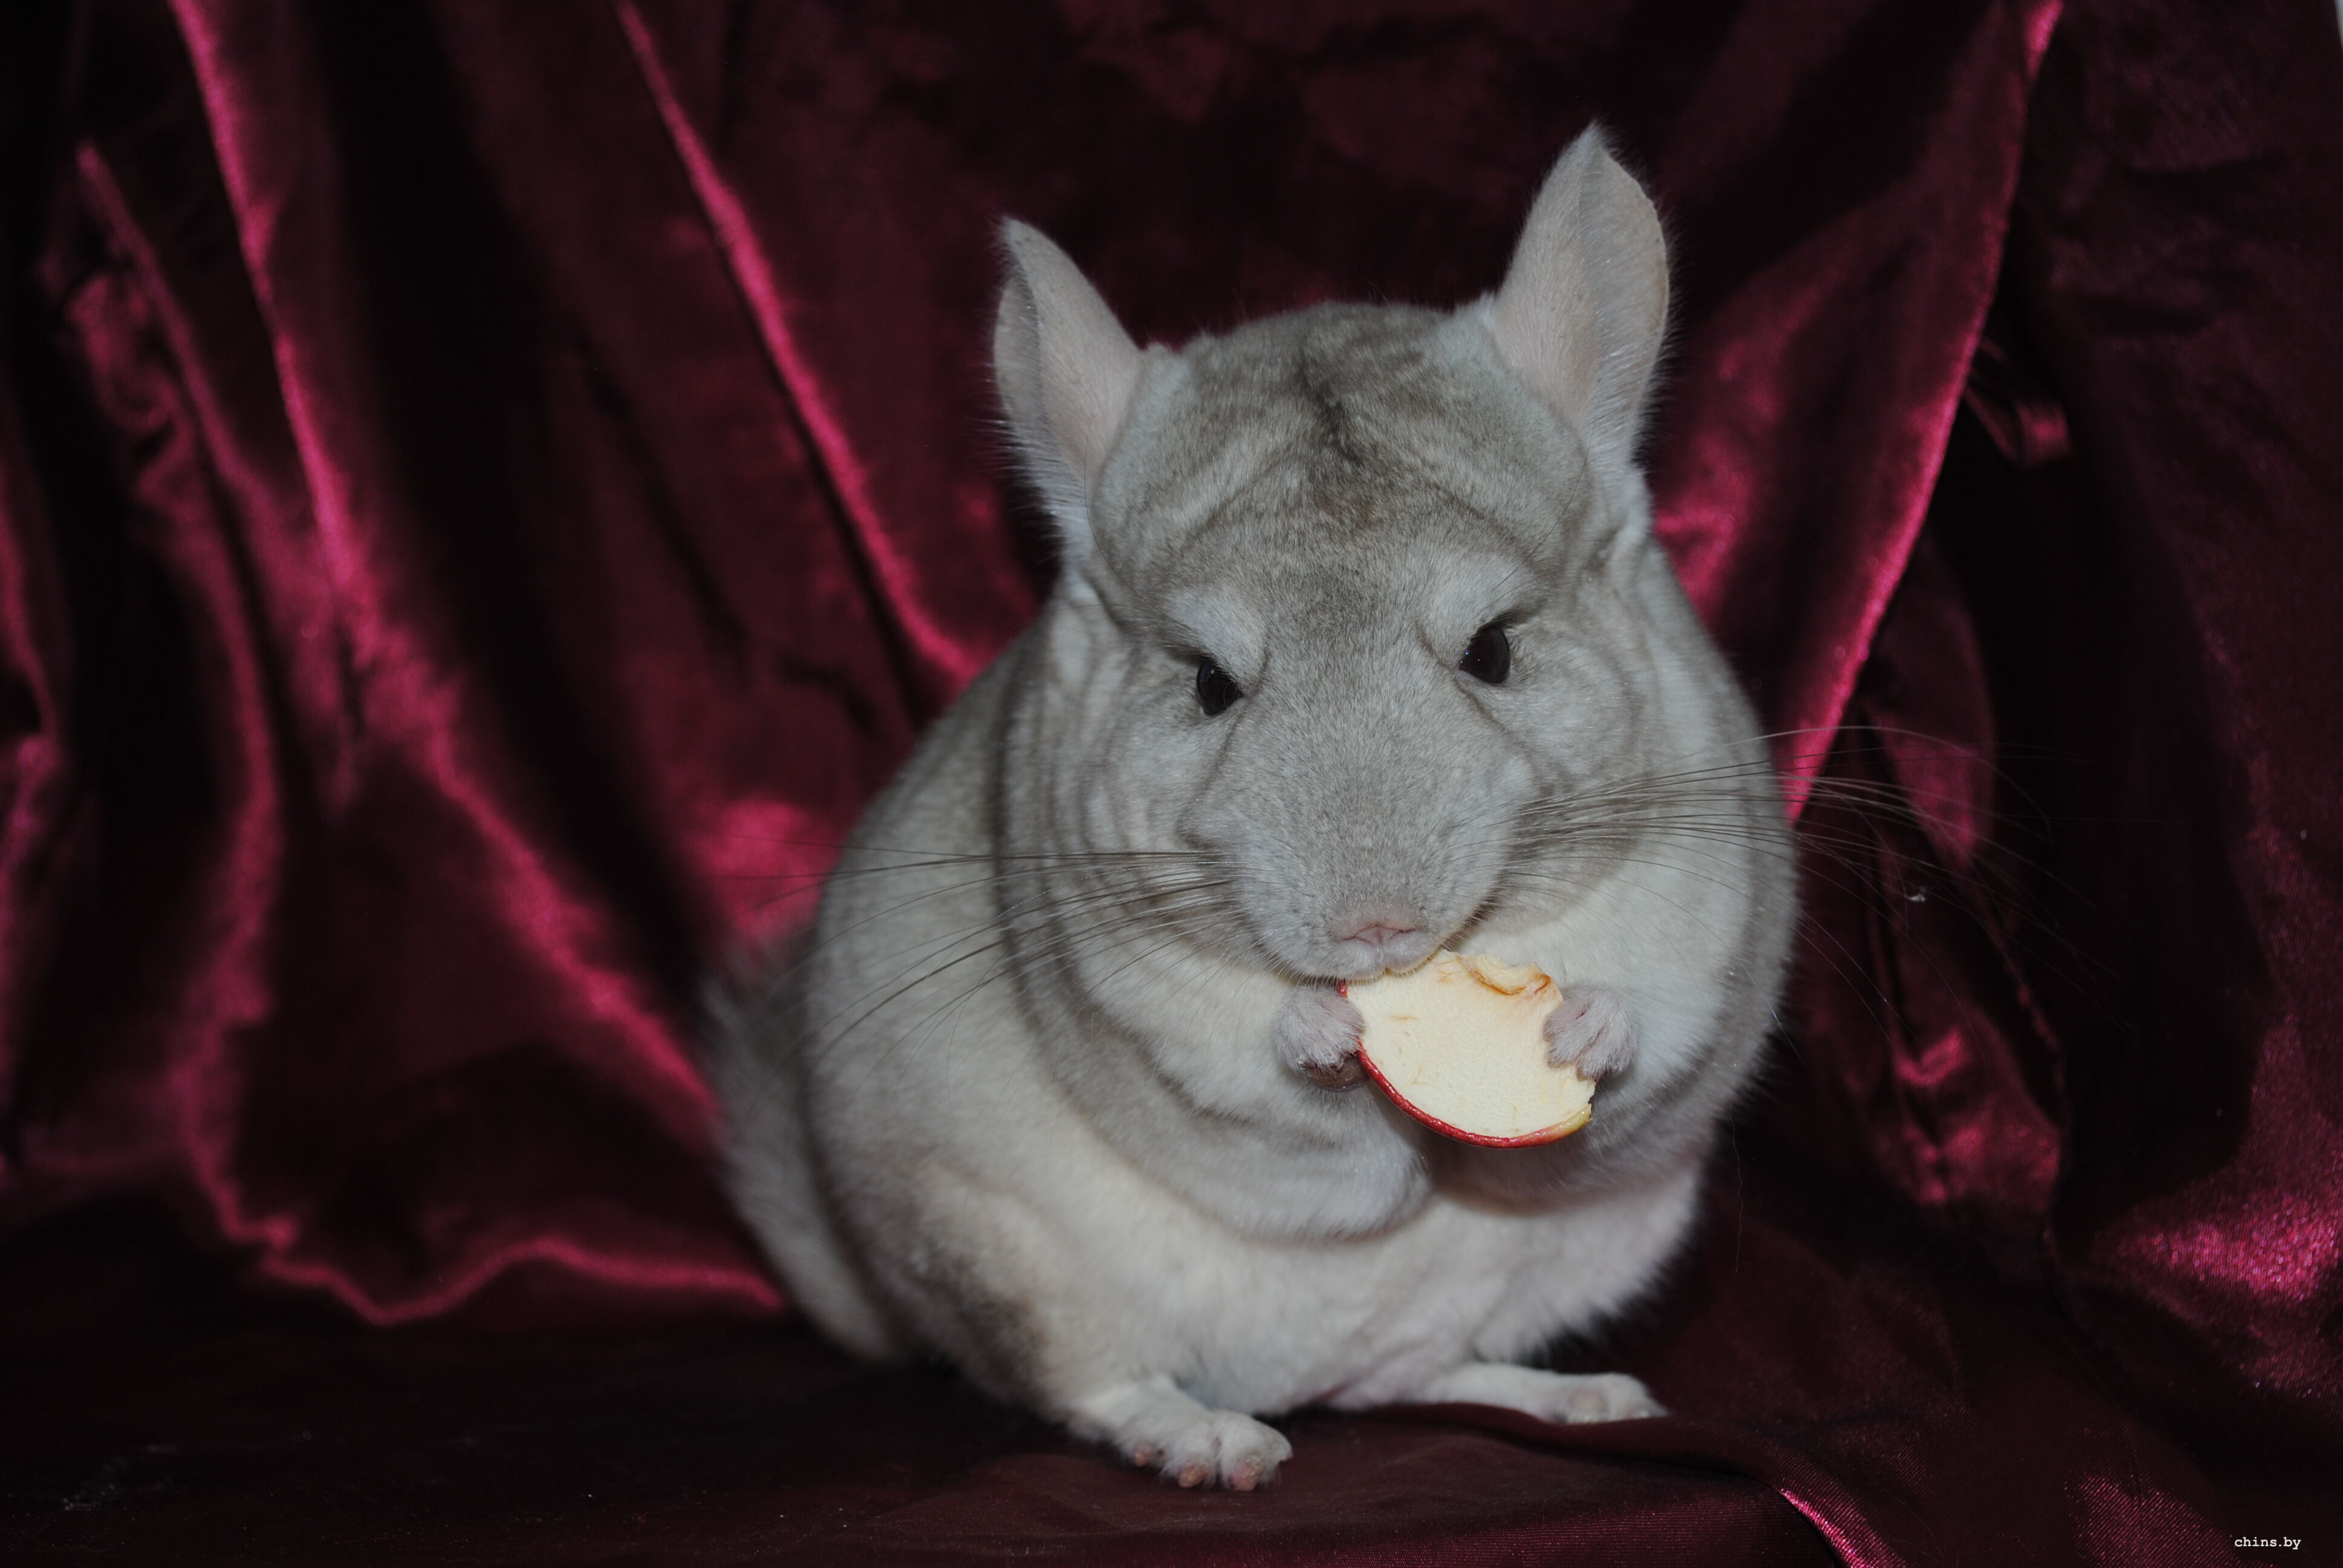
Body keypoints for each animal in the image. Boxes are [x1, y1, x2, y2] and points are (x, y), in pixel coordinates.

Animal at [710, 127, 1796, 1491]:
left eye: (1494, 648)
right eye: (1208, 682)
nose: (1374, 934)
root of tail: (1300, 1377)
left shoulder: (1704, 916)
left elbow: (1648, 1041)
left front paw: (1589, 1028)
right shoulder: (1146, 1019)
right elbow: (1268, 1082)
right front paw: (1317, 1036)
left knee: (1415, 1379)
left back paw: (1581, 1400)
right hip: (1007, 1264)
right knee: (1091, 1388)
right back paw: (1214, 1444)